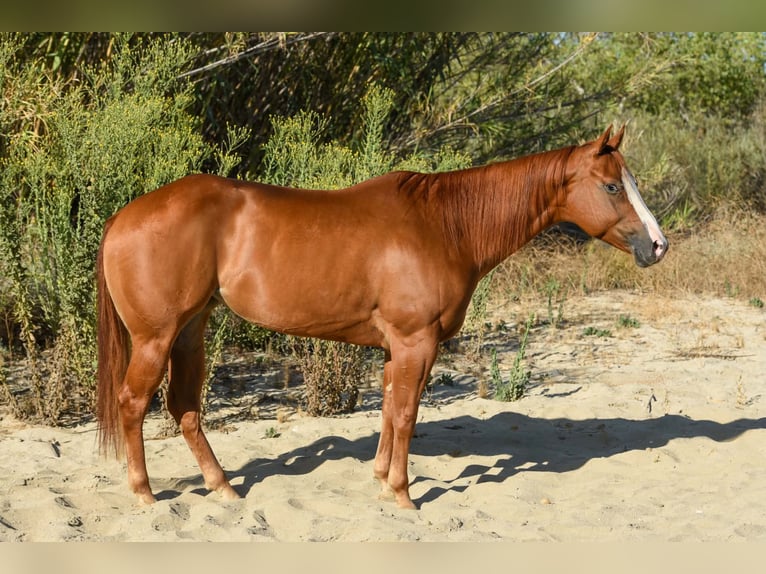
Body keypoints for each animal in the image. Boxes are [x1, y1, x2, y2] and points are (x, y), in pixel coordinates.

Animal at [96, 125, 667, 509]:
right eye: (612, 186)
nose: (658, 246)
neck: (446, 226)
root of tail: (122, 217)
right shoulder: (418, 341)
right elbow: (409, 414)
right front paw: (403, 493)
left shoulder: (398, 346)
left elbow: (390, 409)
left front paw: (379, 480)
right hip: (156, 337)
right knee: (133, 403)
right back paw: (145, 494)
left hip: (191, 331)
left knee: (185, 408)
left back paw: (223, 488)